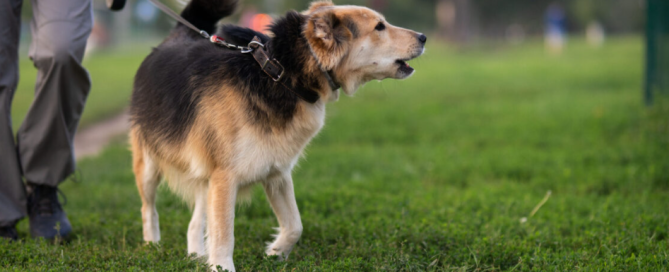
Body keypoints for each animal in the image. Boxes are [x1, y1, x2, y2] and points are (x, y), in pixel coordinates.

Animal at [128, 0, 426, 268]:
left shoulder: (276, 171)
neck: (281, 74)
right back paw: (153, 247)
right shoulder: (225, 177)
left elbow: (295, 225)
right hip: (149, 165)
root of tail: (176, 37)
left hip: (203, 173)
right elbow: (224, 235)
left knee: (194, 222)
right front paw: (223, 266)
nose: (423, 37)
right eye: (379, 27)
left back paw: (195, 256)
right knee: (147, 208)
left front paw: (275, 252)